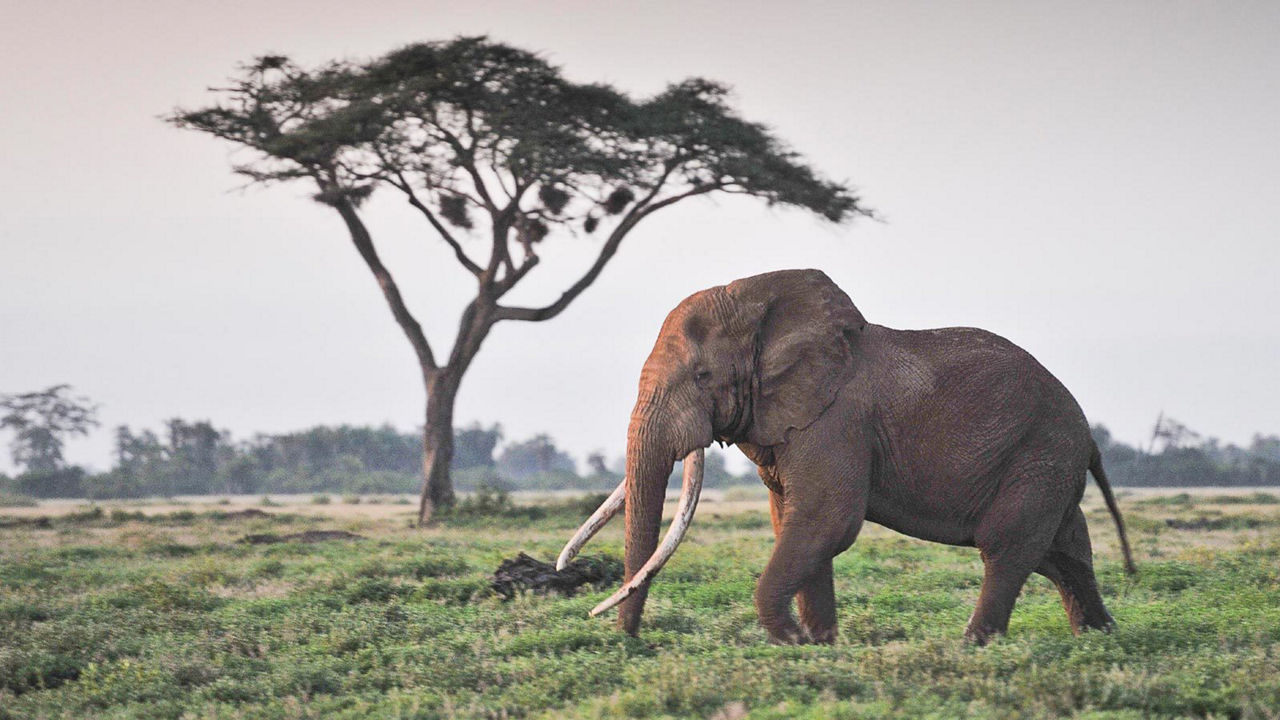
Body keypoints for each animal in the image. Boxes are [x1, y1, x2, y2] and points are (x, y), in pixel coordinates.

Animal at [555, 266, 1136, 640]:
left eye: (702, 376)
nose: (630, 641)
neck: (761, 309)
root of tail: (1088, 434)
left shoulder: (836, 420)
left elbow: (826, 519)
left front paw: (791, 640)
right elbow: (793, 520)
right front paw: (820, 644)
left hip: (1040, 452)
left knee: (1008, 546)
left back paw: (976, 645)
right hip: (1050, 462)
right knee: (1064, 553)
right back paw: (1100, 638)